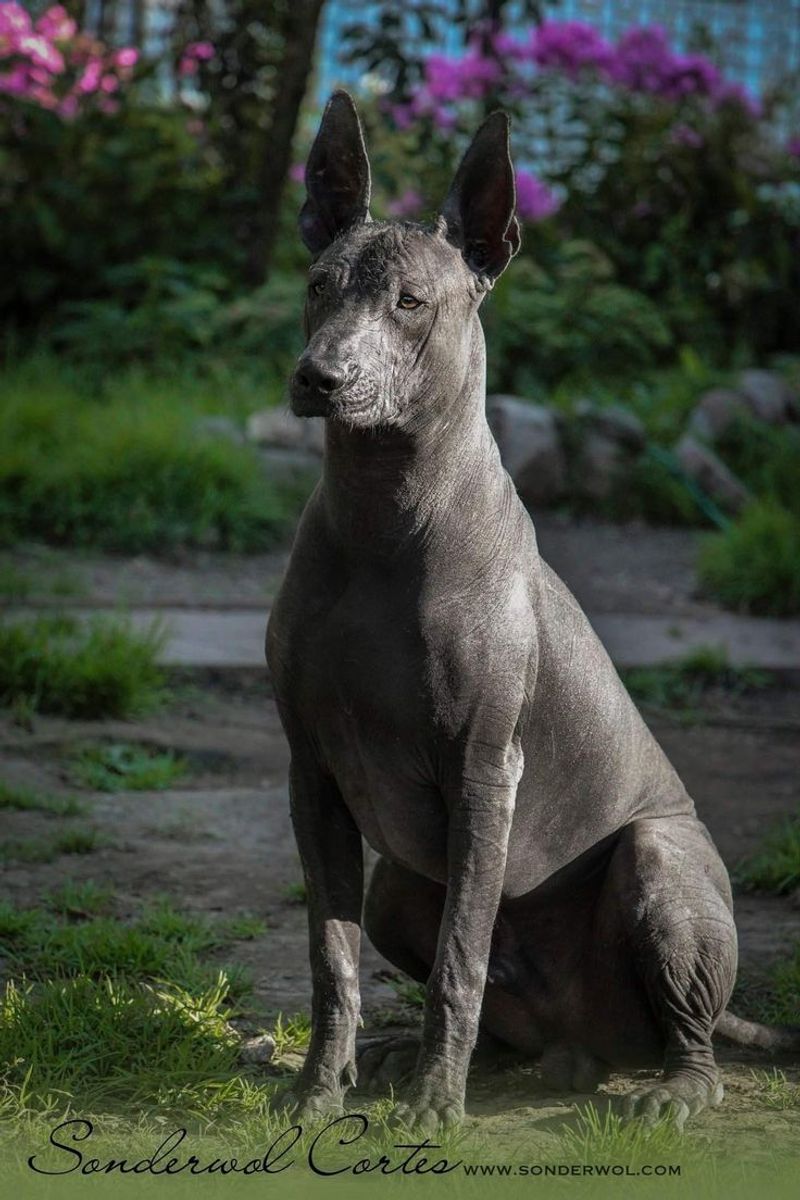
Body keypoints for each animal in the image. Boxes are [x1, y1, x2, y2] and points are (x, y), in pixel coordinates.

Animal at [267, 88, 796, 1128]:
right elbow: (330, 958)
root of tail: (583, 1043)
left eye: (410, 302)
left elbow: (459, 963)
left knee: (691, 1037)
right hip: (400, 885)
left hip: (659, 861)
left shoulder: (483, 775)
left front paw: (436, 1105)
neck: (384, 520)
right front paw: (317, 1091)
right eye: (317, 284)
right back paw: (410, 1057)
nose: (320, 378)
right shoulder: (313, 775)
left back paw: (669, 1090)